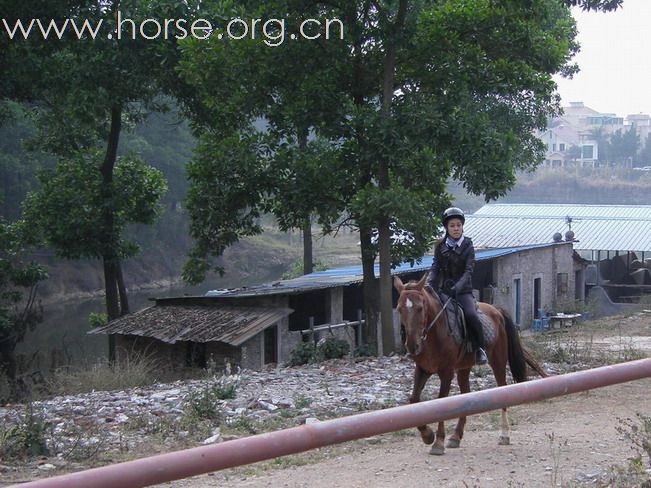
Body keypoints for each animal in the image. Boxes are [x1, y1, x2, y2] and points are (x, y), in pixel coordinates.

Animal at [394, 272, 548, 456]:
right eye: (399, 309)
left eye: (420, 308)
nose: (412, 345)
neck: (434, 333)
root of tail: (497, 311)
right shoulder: (423, 369)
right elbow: (414, 400)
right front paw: (427, 435)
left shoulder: (446, 372)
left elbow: (442, 402)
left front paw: (438, 442)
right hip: (464, 367)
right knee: (465, 394)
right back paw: (456, 437)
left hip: (497, 362)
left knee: (501, 388)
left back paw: (504, 435)